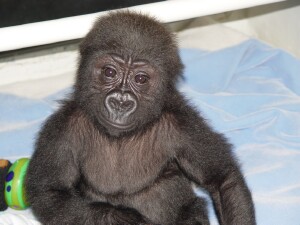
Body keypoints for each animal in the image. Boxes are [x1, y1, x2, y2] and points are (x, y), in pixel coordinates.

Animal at [25, 11, 255, 225]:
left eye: (141, 79)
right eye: (109, 72)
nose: (120, 103)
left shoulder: (184, 125)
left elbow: (223, 180)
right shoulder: (61, 129)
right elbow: (49, 193)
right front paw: (122, 218)